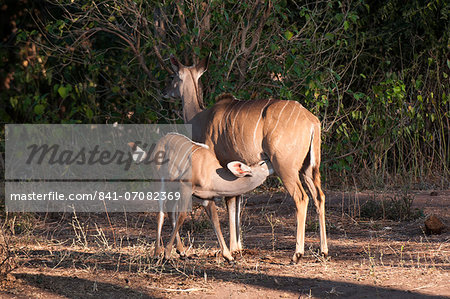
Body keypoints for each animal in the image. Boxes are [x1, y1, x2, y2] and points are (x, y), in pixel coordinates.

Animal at [129, 134, 270, 262]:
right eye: (263, 162)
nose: (269, 157)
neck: (211, 173)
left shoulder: (208, 198)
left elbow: (215, 221)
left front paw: (229, 257)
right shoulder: (186, 186)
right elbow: (182, 216)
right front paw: (167, 254)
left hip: (174, 189)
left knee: (170, 210)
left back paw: (181, 251)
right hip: (160, 180)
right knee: (161, 212)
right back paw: (157, 253)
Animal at [165, 55, 326, 262]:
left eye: (172, 76)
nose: (165, 92)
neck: (199, 117)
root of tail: (312, 121)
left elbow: (229, 201)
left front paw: (232, 249)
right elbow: (237, 201)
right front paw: (238, 247)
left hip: (286, 168)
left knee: (301, 198)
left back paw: (297, 254)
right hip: (308, 168)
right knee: (319, 196)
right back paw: (324, 250)